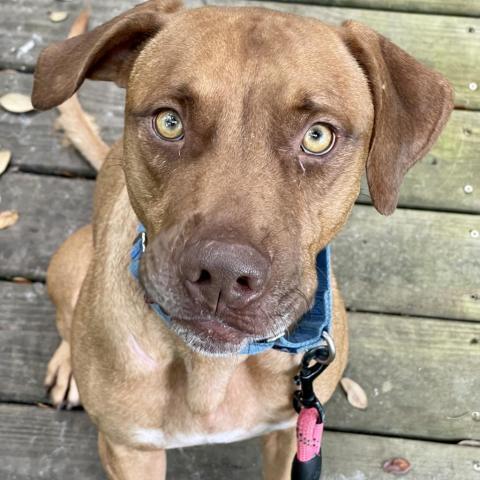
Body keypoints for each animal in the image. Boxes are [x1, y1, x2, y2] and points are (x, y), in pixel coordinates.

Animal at [31, 1, 454, 478]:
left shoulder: (294, 436)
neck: (213, 369)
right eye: (169, 122)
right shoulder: (130, 452)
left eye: (318, 136)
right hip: (68, 264)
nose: (222, 274)